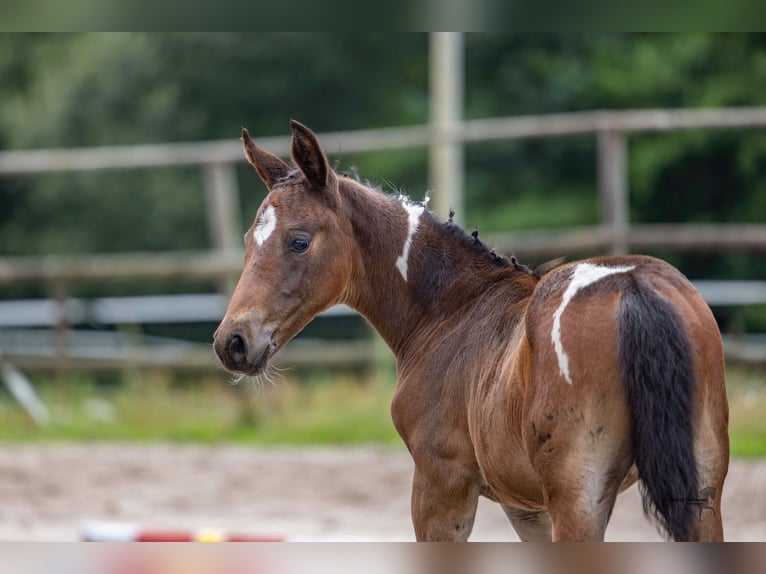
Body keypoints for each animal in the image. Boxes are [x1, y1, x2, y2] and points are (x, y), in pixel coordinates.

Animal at [214, 120, 730, 541]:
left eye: (299, 241)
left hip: (579, 493)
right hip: (701, 487)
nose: (232, 342)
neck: (451, 311)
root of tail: (633, 287)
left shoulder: (441, 484)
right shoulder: (527, 507)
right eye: (248, 240)